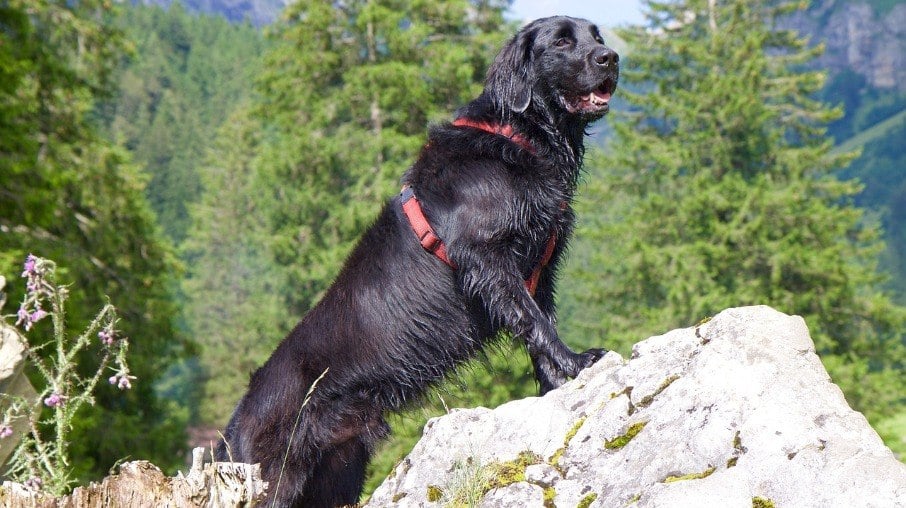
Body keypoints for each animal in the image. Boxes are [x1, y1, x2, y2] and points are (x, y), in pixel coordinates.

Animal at [215, 16, 616, 508]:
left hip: (339, 468)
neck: (517, 138)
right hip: (278, 479)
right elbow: (535, 321)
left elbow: (539, 324)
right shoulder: (487, 258)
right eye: (561, 41)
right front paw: (578, 364)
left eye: (596, 37)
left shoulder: (541, 268)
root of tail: (234, 425)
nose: (611, 58)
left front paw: (555, 384)